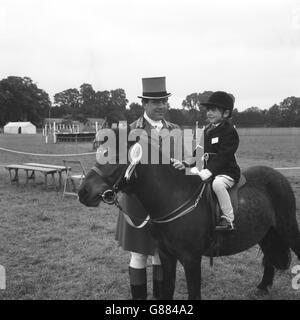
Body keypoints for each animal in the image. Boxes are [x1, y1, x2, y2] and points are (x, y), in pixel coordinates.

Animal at [78, 129, 300, 298]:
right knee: (269, 257)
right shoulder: (167, 256)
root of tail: (278, 176)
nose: (83, 192)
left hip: (287, 228)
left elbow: (194, 293)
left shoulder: (191, 259)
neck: (173, 196)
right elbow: (167, 289)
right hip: (267, 233)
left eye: (114, 157)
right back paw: (262, 287)